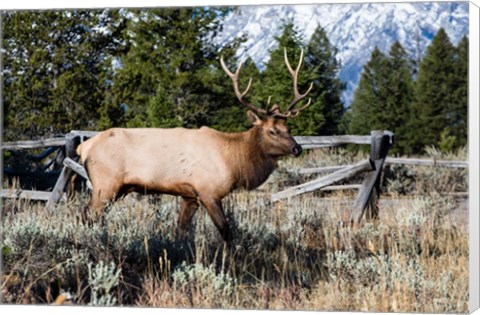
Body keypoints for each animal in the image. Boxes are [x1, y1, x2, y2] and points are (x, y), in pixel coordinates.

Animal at [77, 48, 314, 243]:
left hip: (117, 188)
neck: (234, 161)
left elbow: (181, 231)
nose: (297, 148)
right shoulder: (208, 191)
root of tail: (84, 147)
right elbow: (226, 230)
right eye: (272, 131)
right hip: (105, 185)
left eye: (288, 128)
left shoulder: (189, 195)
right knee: (88, 215)